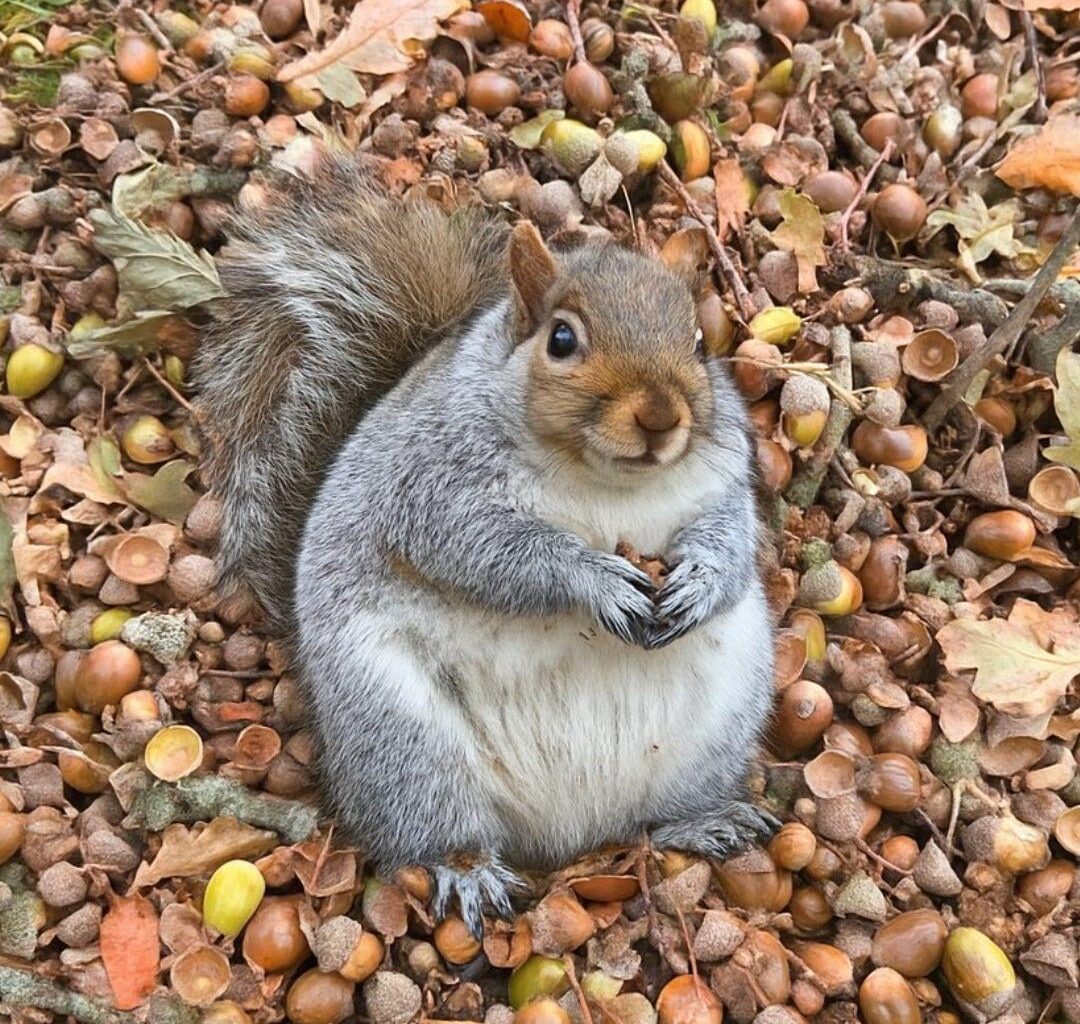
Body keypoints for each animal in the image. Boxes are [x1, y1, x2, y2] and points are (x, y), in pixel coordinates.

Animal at [194, 158, 777, 934]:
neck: (604, 484)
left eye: (698, 343)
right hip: (402, 738)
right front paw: (596, 581)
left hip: (717, 723)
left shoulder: (724, 481)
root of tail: (569, 830)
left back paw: (704, 822)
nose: (660, 416)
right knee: (429, 832)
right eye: (561, 340)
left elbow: (733, 541)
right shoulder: (429, 488)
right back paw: (467, 871)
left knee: (655, 818)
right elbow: (486, 549)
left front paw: (699, 583)